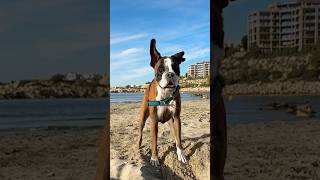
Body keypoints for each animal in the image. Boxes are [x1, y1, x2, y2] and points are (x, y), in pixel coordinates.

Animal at [138, 38, 188, 167]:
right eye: (161, 69)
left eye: (175, 68)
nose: (170, 74)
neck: (165, 93)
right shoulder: (154, 121)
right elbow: (154, 141)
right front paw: (154, 158)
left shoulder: (177, 118)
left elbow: (179, 138)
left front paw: (181, 154)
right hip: (143, 117)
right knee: (140, 132)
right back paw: (138, 145)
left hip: (171, 121)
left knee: (175, 134)